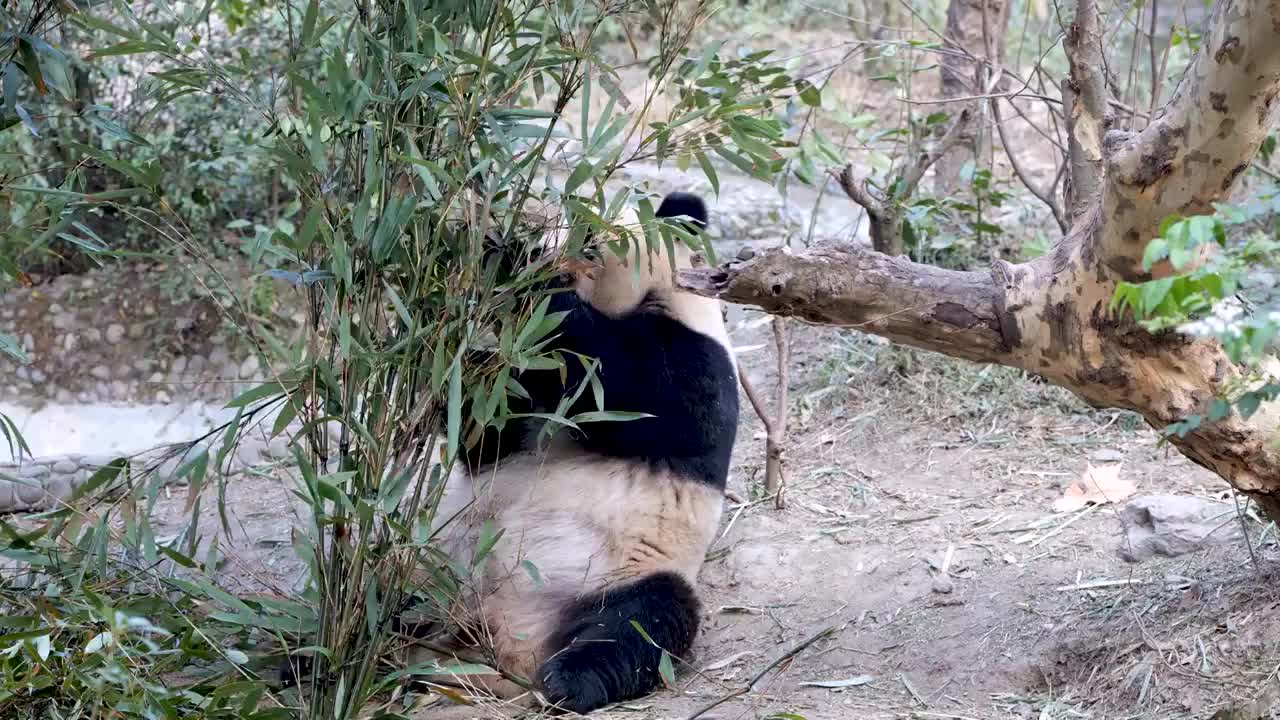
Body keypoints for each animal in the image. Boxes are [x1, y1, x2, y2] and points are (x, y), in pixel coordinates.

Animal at [424, 190, 737, 712]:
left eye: (589, 235)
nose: (542, 251)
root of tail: (505, 648)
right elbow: (482, 433)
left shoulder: (695, 359)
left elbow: (620, 382)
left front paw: (510, 266)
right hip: (439, 567)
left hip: (621, 572)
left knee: (639, 622)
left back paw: (569, 680)